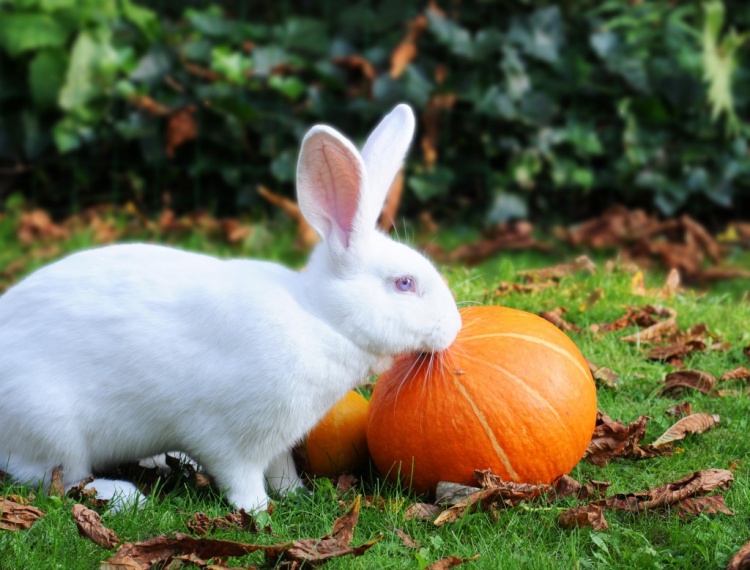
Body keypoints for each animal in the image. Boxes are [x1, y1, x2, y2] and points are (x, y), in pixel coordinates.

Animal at [0, 103, 464, 510]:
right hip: (53, 429)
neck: (320, 319)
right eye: (404, 284)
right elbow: (239, 476)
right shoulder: (228, 438)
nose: (454, 327)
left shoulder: (277, 441)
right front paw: (258, 509)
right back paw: (125, 495)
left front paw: (295, 494)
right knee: (57, 479)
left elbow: (281, 469)